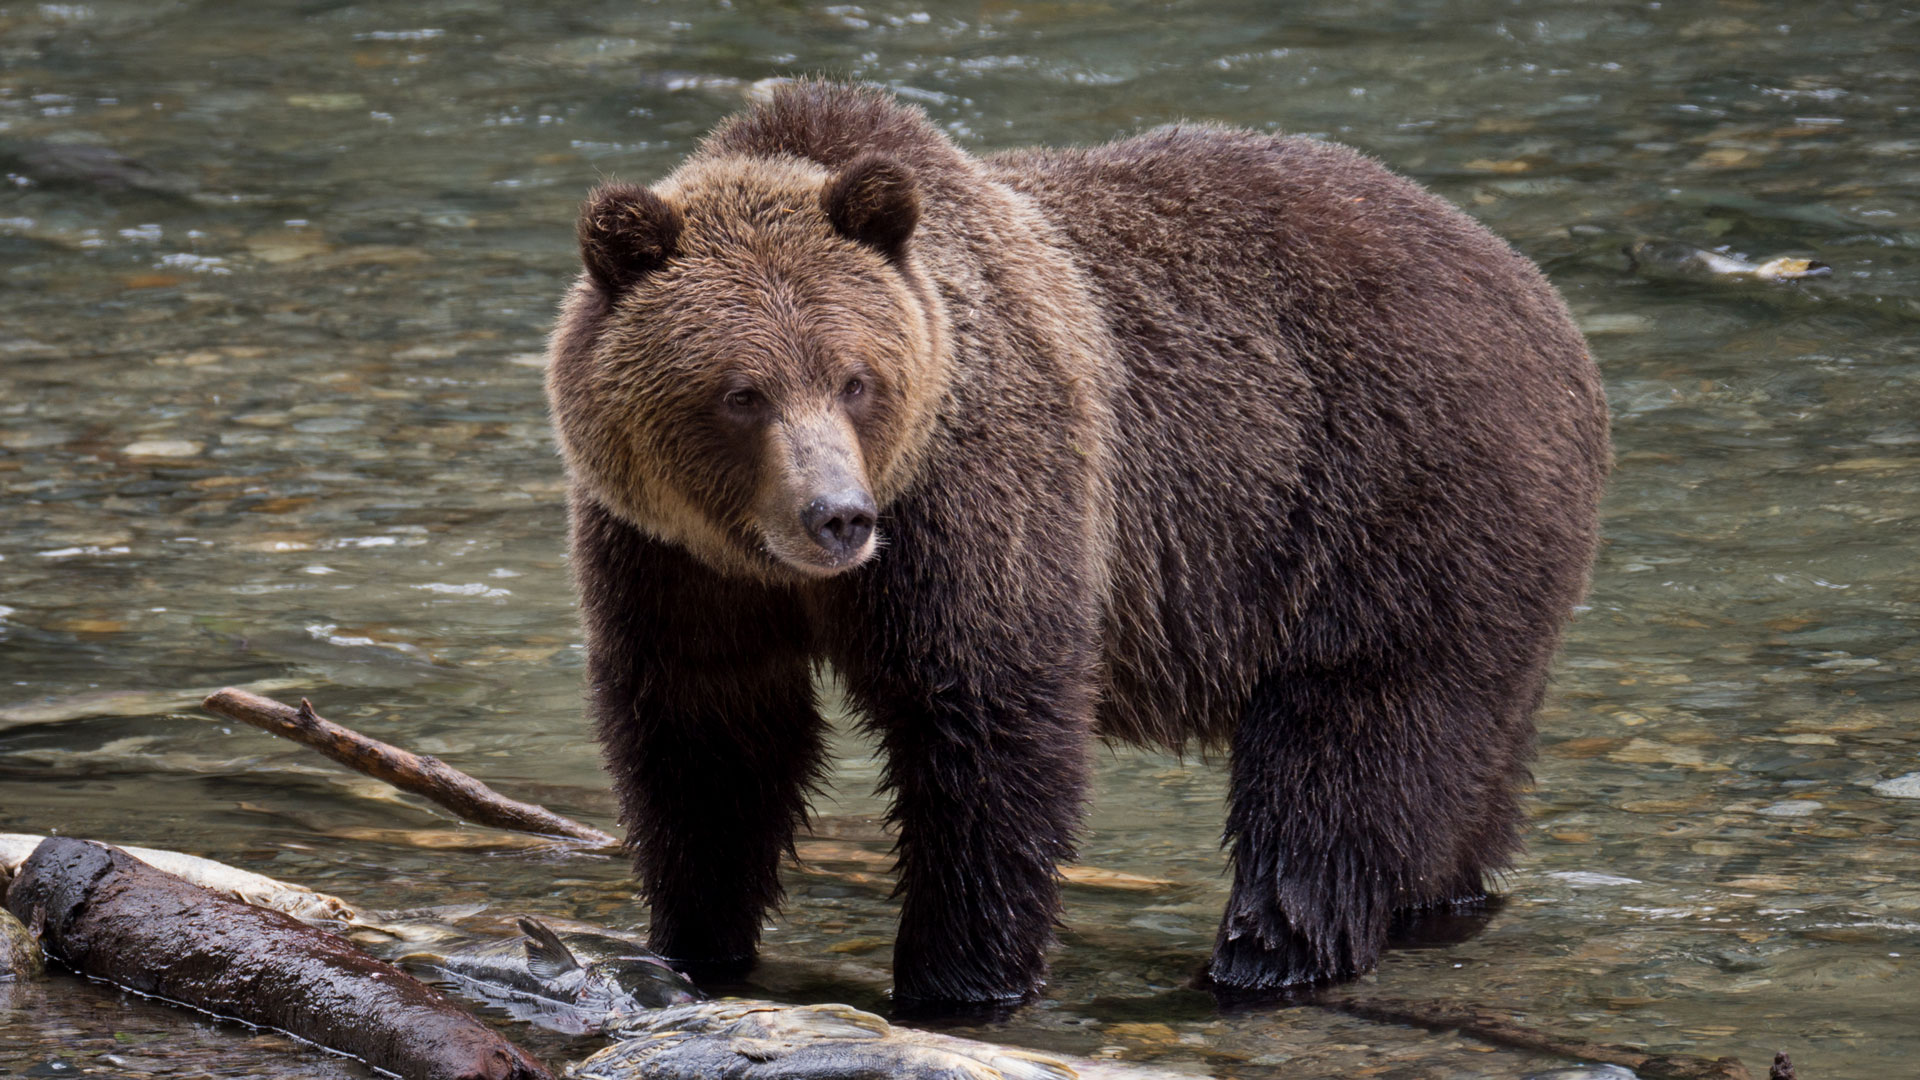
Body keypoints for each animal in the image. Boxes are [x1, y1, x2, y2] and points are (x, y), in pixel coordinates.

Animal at [545, 80, 1610, 1006]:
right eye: (741, 392)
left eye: (854, 379)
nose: (837, 515)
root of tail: (1543, 303)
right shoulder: (672, 558)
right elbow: (708, 736)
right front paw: (695, 943)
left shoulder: (976, 494)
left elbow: (985, 721)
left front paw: (958, 978)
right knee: (1464, 770)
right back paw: (1438, 903)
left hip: (1395, 501)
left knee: (1349, 744)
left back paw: (1267, 957)